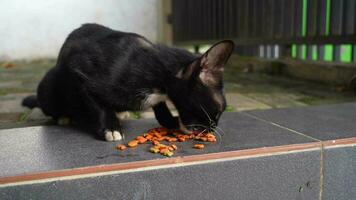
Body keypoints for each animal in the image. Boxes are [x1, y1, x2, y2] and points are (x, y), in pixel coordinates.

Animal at [21, 23, 234, 141]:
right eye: (218, 110)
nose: (213, 128)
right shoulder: (78, 71)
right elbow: (99, 106)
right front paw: (111, 127)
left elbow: (160, 105)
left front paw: (169, 120)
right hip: (49, 86)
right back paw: (64, 117)